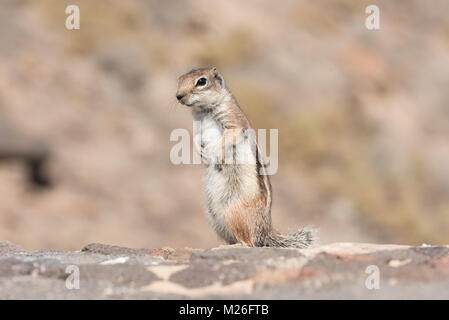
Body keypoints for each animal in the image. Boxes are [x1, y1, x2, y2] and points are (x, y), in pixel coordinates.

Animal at [175, 67, 316, 248]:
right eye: (180, 79)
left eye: (201, 81)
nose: (178, 96)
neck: (204, 111)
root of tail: (265, 230)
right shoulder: (197, 127)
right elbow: (195, 138)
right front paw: (201, 152)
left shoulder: (234, 122)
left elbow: (229, 137)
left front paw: (217, 155)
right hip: (213, 216)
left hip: (233, 211)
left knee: (248, 242)